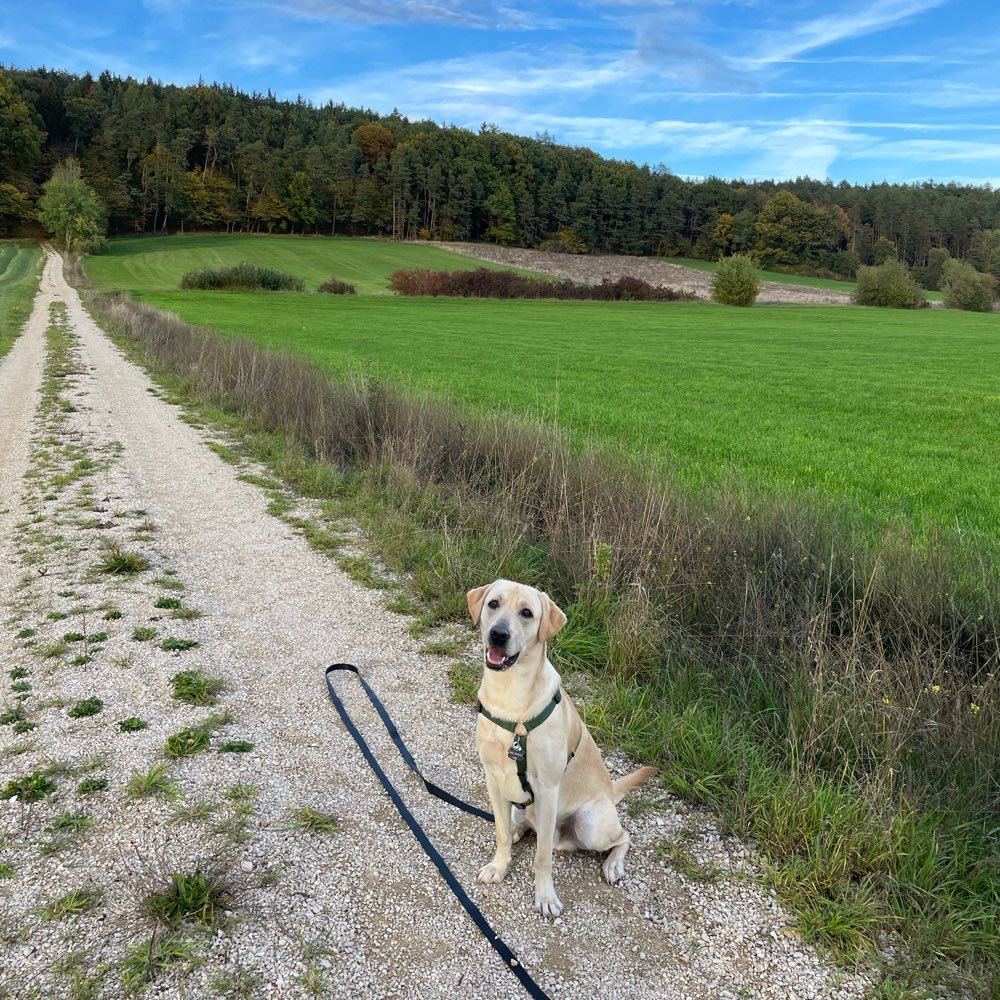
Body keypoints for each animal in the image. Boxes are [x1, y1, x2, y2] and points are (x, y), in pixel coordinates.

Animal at [468, 580, 656, 916]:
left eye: (527, 613)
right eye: (493, 604)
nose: (498, 634)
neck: (510, 697)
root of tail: (610, 792)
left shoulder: (547, 789)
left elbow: (542, 857)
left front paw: (545, 896)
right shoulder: (493, 778)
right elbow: (500, 833)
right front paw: (499, 866)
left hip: (591, 824)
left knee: (622, 836)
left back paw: (613, 865)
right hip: (520, 807)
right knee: (521, 826)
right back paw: (517, 831)